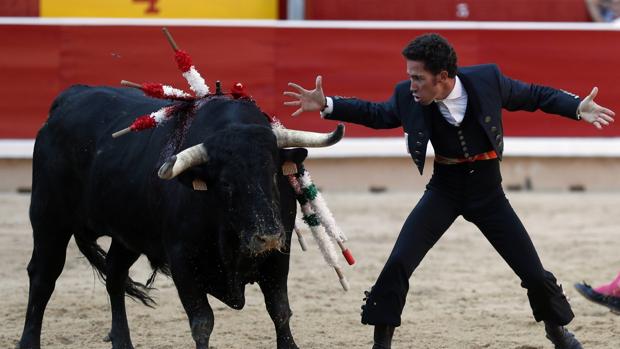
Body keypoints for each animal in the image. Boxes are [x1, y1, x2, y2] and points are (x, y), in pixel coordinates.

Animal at [19, 85, 346, 348]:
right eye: (226, 184)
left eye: (274, 176)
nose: (267, 236)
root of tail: (70, 97)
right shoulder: (183, 262)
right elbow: (202, 322)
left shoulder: (279, 255)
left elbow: (279, 311)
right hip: (48, 218)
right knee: (43, 277)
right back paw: (29, 341)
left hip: (128, 232)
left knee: (114, 275)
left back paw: (122, 342)